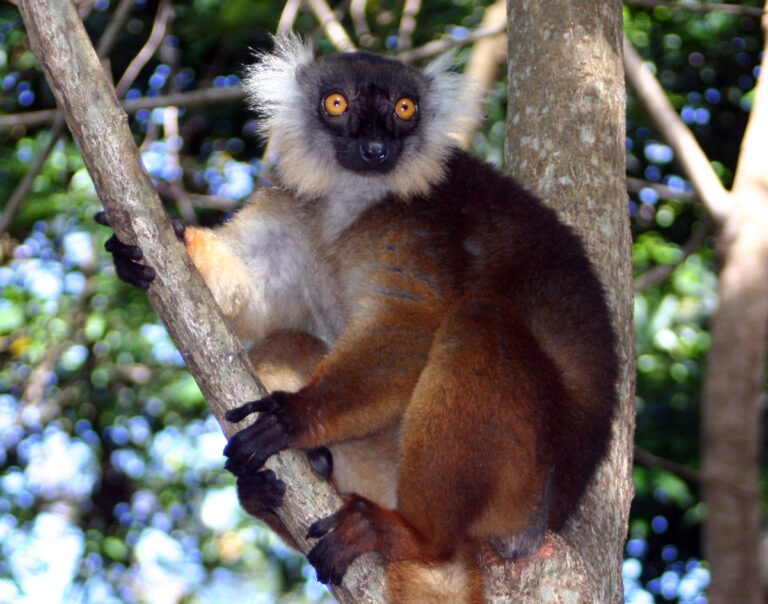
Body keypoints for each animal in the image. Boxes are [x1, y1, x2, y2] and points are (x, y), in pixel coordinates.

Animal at [99, 35, 618, 603]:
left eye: (404, 109)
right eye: (337, 103)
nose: (375, 149)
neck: (356, 198)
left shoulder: (420, 231)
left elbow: (408, 324)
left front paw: (294, 418)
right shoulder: (300, 206)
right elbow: (253, 289)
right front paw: (154, 246)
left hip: (521, 493)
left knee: (478, 321)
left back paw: (413, 536)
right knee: (282, 343)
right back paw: (281, 485)